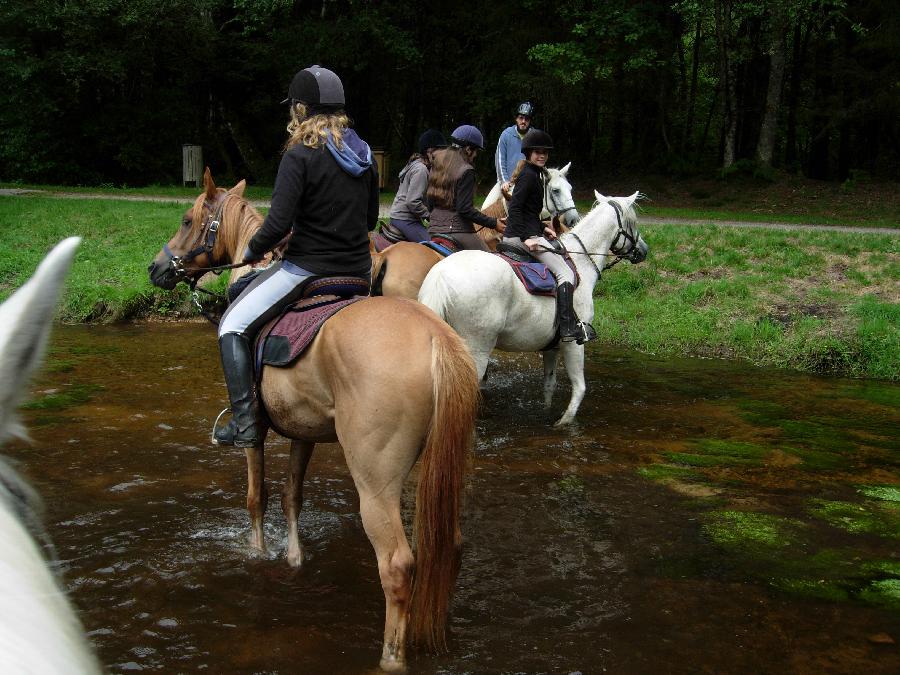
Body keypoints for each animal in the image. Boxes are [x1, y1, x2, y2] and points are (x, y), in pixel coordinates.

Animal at [147, 170, 482, 672]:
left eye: (188, 220)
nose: (156, 269)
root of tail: (434, 336)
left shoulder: (257, 432)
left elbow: (257, 498)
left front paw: (259, 552)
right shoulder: (301, 430)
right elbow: (292, 496)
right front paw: (293, 556)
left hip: (376, 480)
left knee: (397, 564)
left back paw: (391, 656)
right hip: (441, 467)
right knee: (450, 546)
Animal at [418, 190, 652, 426]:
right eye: (633, 222)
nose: (643, 251)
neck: (581, 263)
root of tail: (441, 276)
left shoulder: (552, 346)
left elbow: (549, 385)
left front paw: (546, 413)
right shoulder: (573, 343)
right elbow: (579, 388)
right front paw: (563, 423)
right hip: (477, 351)